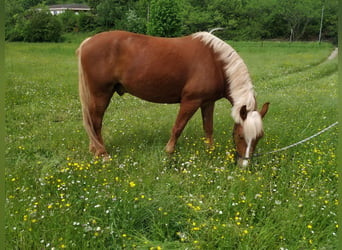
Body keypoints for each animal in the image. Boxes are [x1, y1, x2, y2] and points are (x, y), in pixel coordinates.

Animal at [77, 30, 270, 166]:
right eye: (240, 136)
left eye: (259, 137)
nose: (244, 165)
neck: (215, 62)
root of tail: (87, 42)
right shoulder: (191, 101)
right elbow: (178, 128)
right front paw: (169, 152)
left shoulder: (208, 103)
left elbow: (208, 129)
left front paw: (210, 152)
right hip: (101, 94)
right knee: (96, 123)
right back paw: (103, 154)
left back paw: (94, 150)